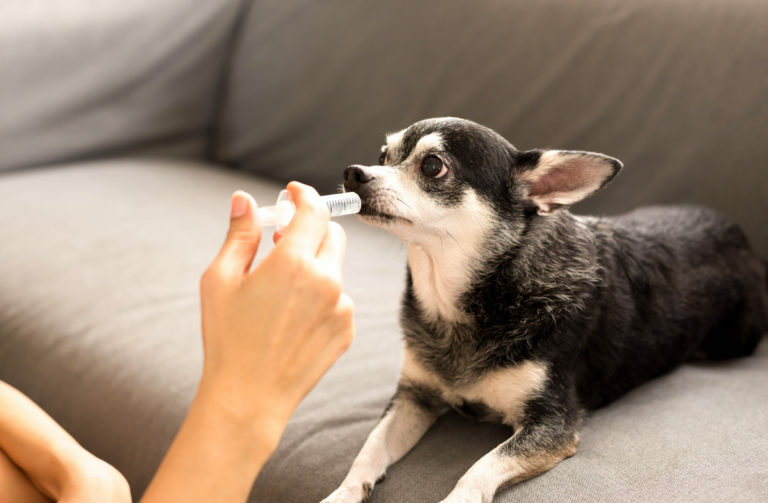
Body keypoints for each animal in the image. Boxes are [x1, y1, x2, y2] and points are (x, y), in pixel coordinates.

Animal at [322, 117, 768, 503]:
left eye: (432, 166)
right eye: (383, 156)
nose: (353, 172)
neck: (464, 303)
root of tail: (741, 236)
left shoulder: (551, 425)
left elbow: (480, 467)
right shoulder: (415, 397)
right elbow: (370, 447)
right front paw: (342, 493)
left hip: (732, 340)